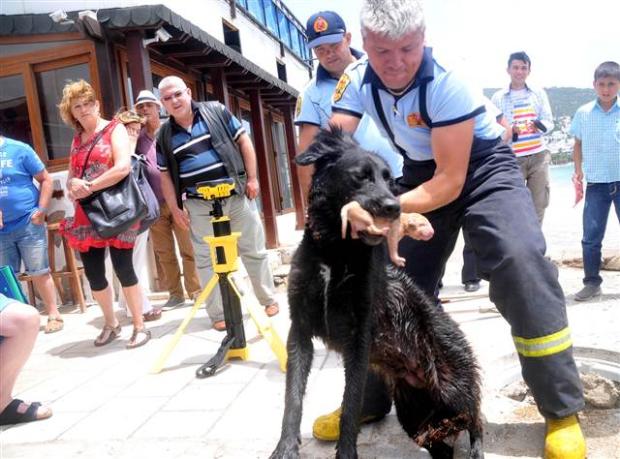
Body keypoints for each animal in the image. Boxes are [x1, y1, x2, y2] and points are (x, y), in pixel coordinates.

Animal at [272, 129, 484, 459]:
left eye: (391, 182)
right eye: (361, 176)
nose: (394, 208)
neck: (335, 254)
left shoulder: (358, 339)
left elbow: (350, 406)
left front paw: (346, 454)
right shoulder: (300, 331)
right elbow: (292, 398)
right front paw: (285, 448)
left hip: (454, 388)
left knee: (476, 420)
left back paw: (476, 449)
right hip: (413, 412)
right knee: (440, 445)